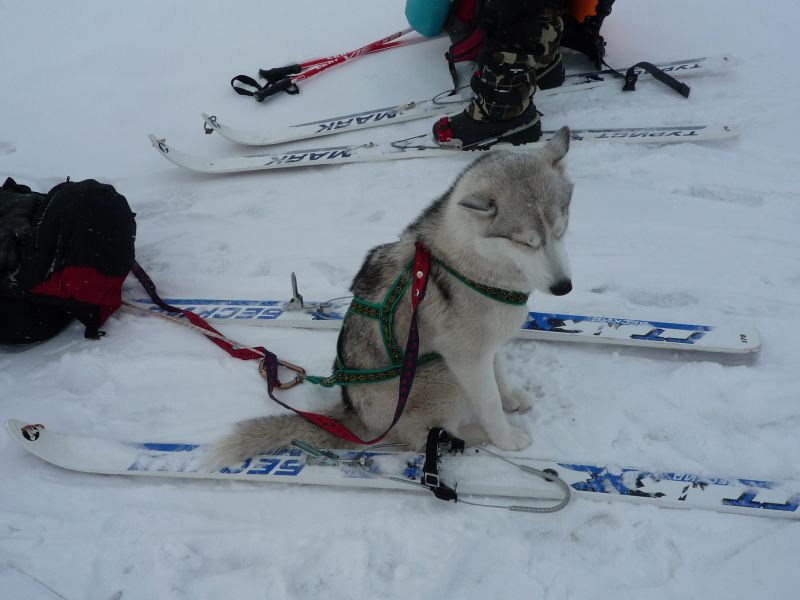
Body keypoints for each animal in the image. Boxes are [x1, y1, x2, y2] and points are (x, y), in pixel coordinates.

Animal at [211, 125, 576, 464]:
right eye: (526, 242)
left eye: (561, 230)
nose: (564, 287)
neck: (471, 263)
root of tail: (355, 416)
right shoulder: (466, 359)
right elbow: (488, 402)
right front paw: (504, 437)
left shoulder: (487, 344)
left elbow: (499, 372)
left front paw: (510, 397)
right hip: (439, 375)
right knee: (423, 436)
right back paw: (472, 437)